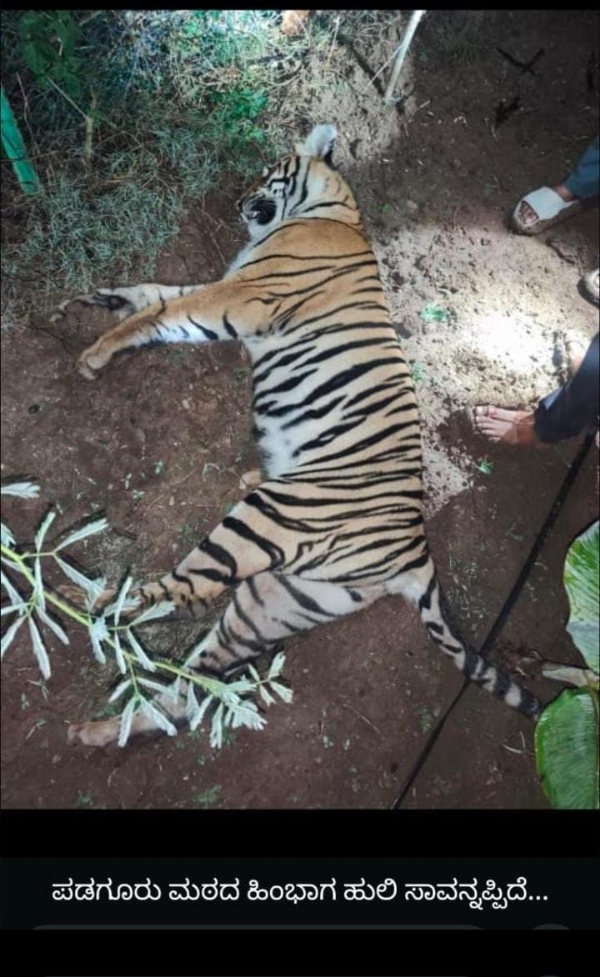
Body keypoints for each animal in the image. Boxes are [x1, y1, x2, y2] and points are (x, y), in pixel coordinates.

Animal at [61, 123, 542, 748]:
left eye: (267, 173)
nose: (239, 202)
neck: (334, 212)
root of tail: (418, 556)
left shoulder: (236, 296)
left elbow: (158, 313)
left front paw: (94, 354)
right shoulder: (225, 283)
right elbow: (151, 293)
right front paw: (90, 301)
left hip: (264, 519)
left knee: (186, 595)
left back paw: (82, 597)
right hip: (272, 601)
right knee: (194, 688)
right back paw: (96, 729)